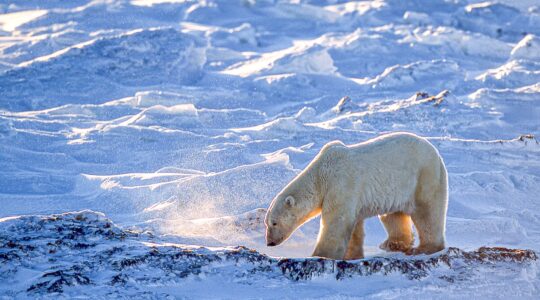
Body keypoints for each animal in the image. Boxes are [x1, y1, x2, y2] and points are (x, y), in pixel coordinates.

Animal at [264, 132, 448, 258]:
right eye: (267, 223)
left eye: (274, 223)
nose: (269, 243)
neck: (321, 174)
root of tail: (437, 154)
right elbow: (353, 226)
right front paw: (352, 255)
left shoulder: (341, 184)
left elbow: (336, 222)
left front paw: (320, 255)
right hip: (398, 187)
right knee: (393, 215)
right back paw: (392, 244)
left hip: (424, 177)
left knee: (427, 213)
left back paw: (426, 248)